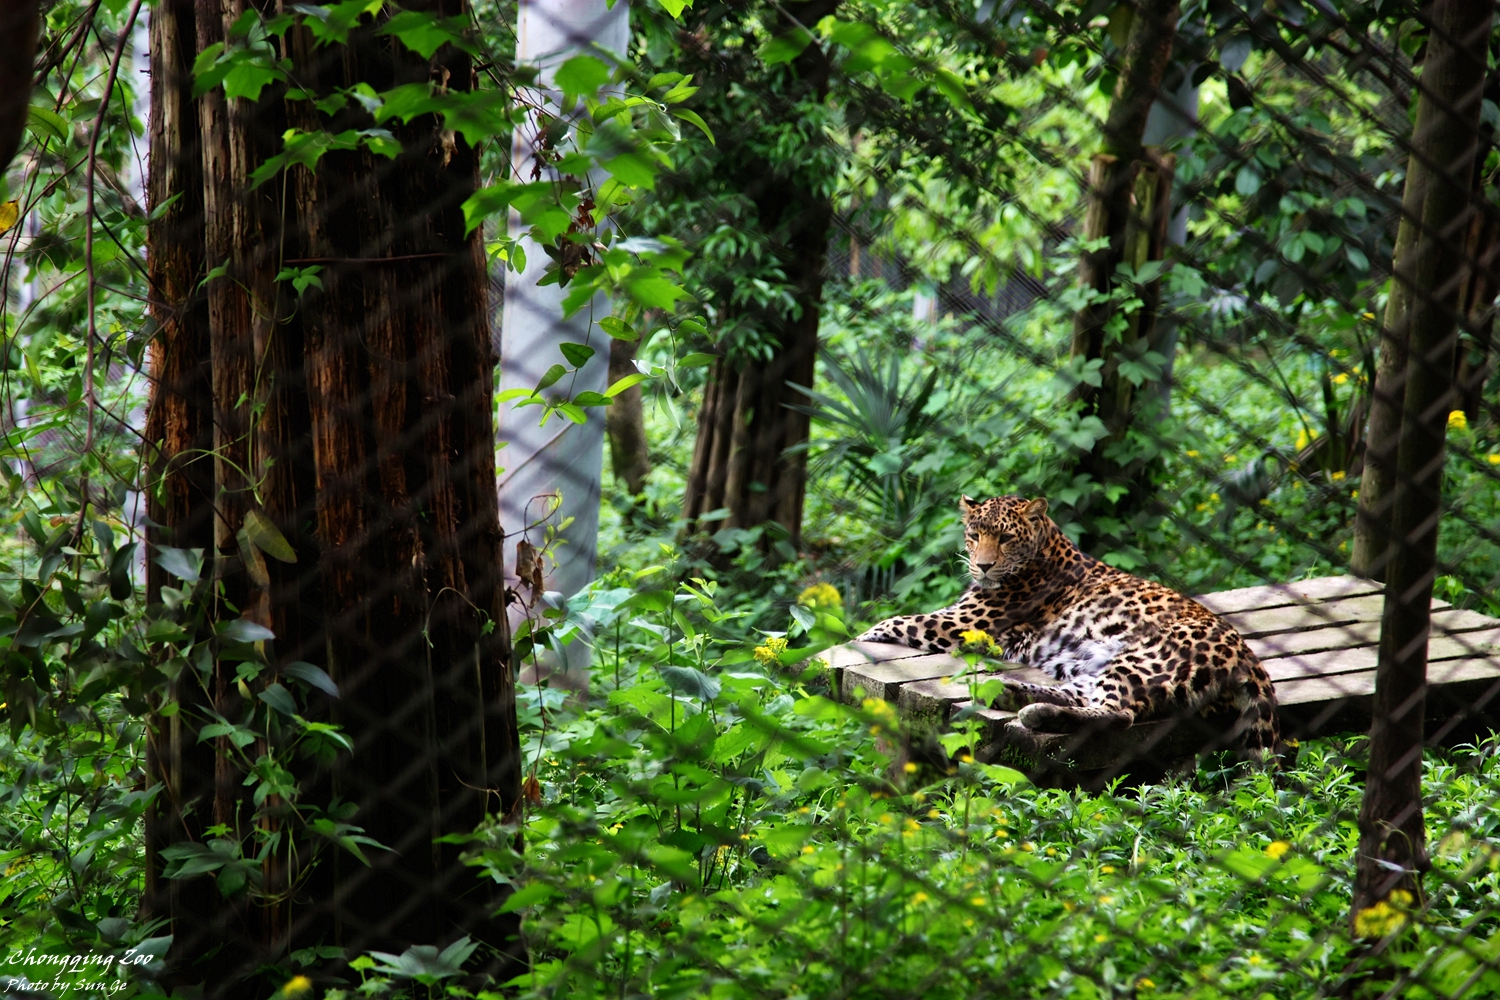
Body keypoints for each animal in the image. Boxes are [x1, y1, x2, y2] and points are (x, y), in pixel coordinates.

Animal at [857, 494, 1280, 755]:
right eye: (974, 535)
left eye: (1005, 538)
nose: (983, 566)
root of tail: (1248, 659)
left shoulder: (964, 622)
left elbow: (902, 621)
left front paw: (863, 636)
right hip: (1093, 665)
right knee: (1084, 697)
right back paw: (1014, 695)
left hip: (1142, 661)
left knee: (1118, 714)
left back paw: (1030, 708)